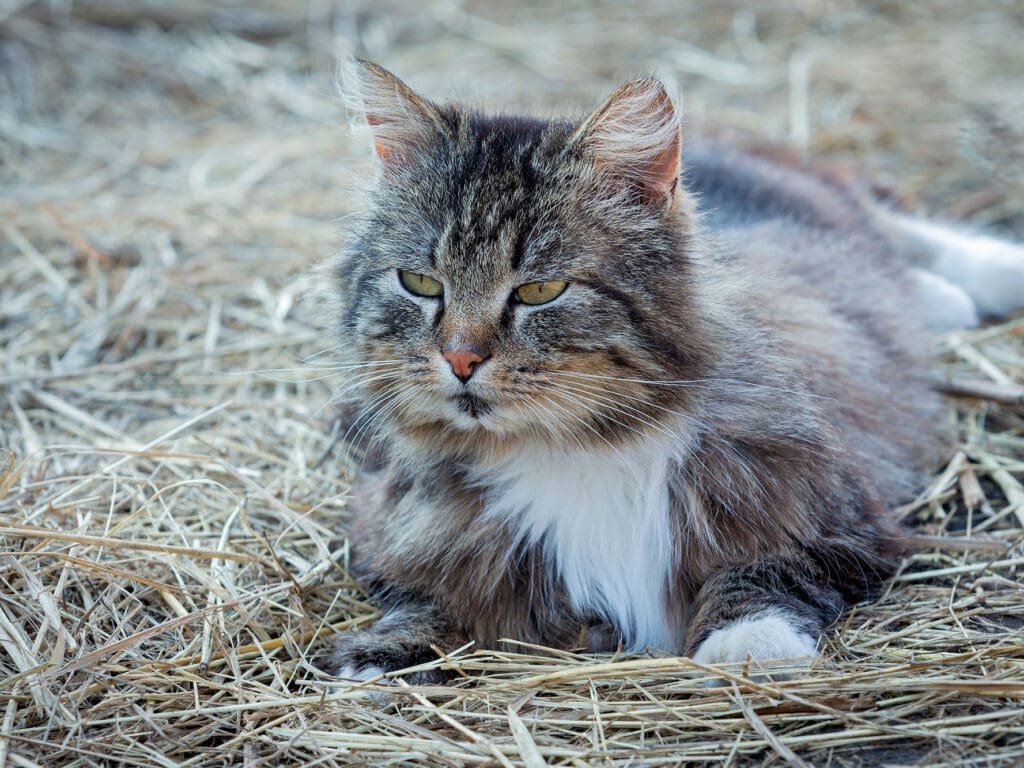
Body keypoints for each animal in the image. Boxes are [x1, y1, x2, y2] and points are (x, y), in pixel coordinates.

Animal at [323, 58, 1024, 684]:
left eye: (541, 291)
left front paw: (749, 645)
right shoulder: (399, 532)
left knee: (907, 231)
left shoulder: (842, 519)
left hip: (835, 208)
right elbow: (429, 599)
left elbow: (762, 570)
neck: (572, 447)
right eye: (420, 283)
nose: (461, 359)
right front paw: (381, 654)